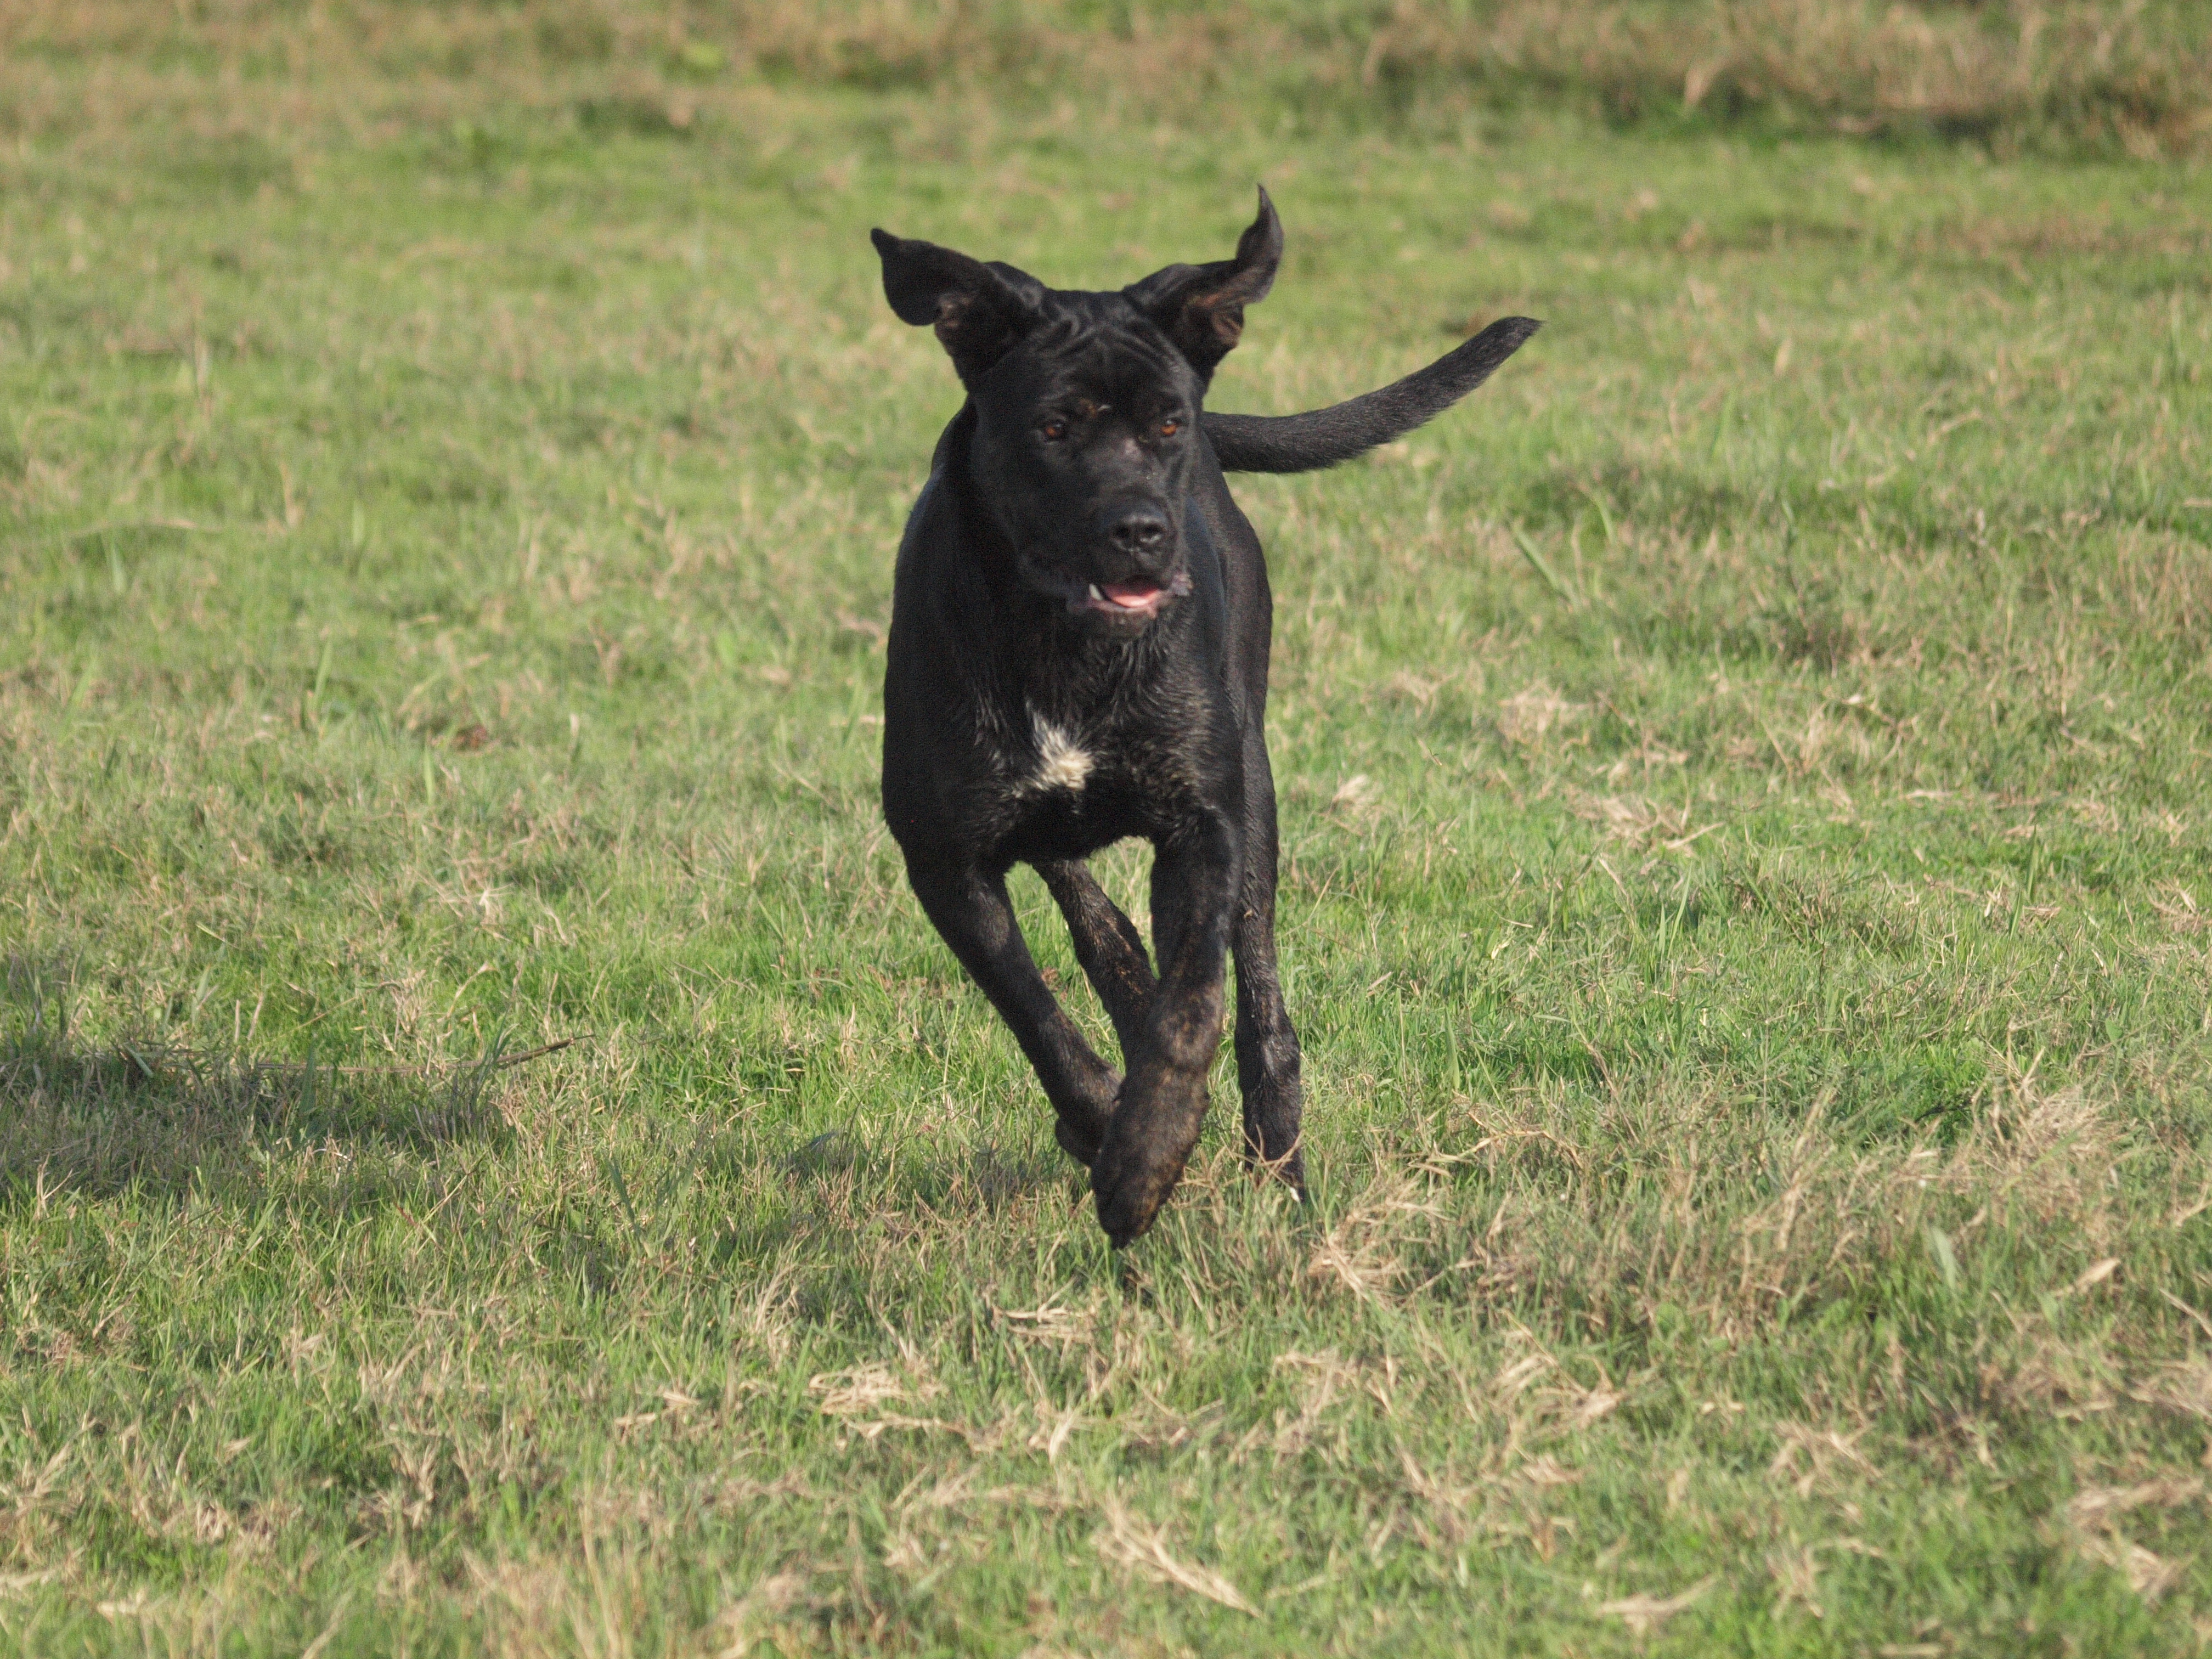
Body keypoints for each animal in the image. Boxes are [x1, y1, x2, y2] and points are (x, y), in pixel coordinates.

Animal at [870, 189, 1536, 1246]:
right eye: (1053, 426)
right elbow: (1035, 1013)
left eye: (1167, 423)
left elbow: (1195, 1008)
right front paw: (1102, 1123)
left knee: (1260, 1006)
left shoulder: (1207, 823)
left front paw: (1146, 1157)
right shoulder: (946, 857)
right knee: (1097, 924)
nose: (1141, 529)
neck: (1067, 645)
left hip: (1257, 794)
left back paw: (1281, 1170)